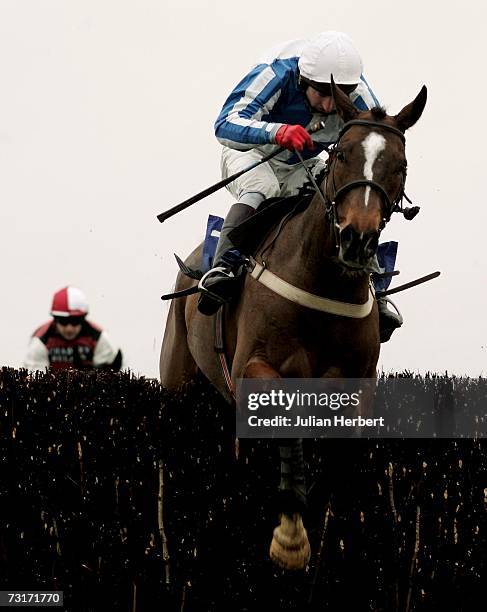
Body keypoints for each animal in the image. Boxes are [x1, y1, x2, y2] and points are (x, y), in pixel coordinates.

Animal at [160, 80, 428, 568]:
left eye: (399, 165)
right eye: (342, 155)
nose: (357, 239)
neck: (321, 282)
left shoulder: (356, 384)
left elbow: (339, 453)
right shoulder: (255, 368)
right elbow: (288, 422)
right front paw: (289, 535)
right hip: (178, 377)